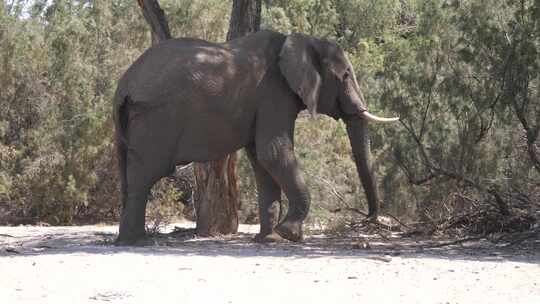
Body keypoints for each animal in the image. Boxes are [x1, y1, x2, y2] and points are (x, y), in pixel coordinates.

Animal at [113, 30, 396, 245]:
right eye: (345, 75)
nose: (368, 219)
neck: (300, 40)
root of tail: (123, 85)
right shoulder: (274, 92)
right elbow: (273, 152)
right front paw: (288, 234)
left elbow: (262, 160)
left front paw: (269, 238)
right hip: (155, 118)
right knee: (145, 175)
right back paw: (137, 242)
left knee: (129, 174)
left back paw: (130, 240)